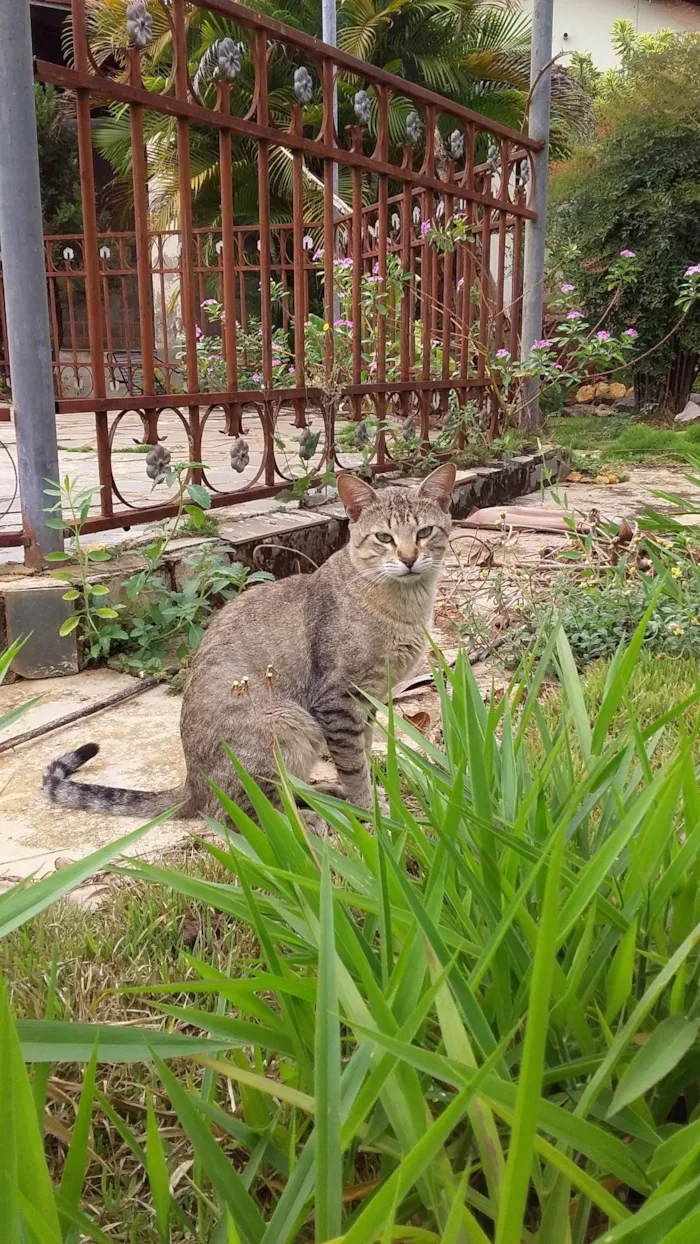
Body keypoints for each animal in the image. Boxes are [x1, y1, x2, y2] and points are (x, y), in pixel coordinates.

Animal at [45, 465, 460, 816]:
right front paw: (370, 809)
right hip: (287, 724)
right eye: (384, 538)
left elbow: (364, 750)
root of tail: (193, 785)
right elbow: (353, 764)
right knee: (246, 815)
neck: (405, 605)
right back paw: (312, 820)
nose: (409, 558)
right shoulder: (339, 700)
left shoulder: (369, 699)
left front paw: (372, 793)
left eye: (424, 533)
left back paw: (323, 796)